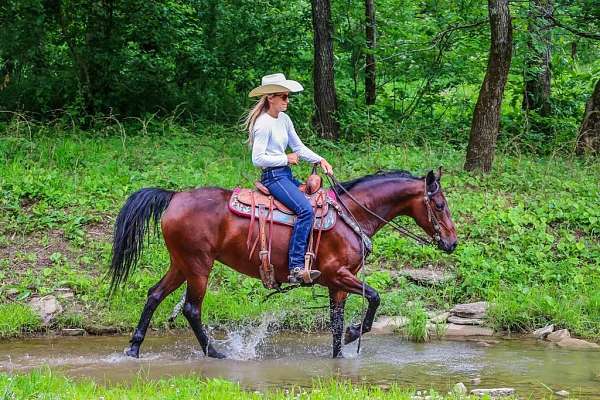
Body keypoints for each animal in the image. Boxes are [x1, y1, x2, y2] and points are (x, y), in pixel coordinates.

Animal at [109, 167, 454, 358]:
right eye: (438, 204)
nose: (452, 243)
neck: (352, 215)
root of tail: (174, 196)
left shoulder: (337, 285)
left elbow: (336, 322)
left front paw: (340, 354)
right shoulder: (337, 275)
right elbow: (374, 298)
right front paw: (354, 333)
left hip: (181, 263)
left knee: (154, 295)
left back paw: (134, 348)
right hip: (198, 266)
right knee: (192, 309)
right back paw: (216, 353)